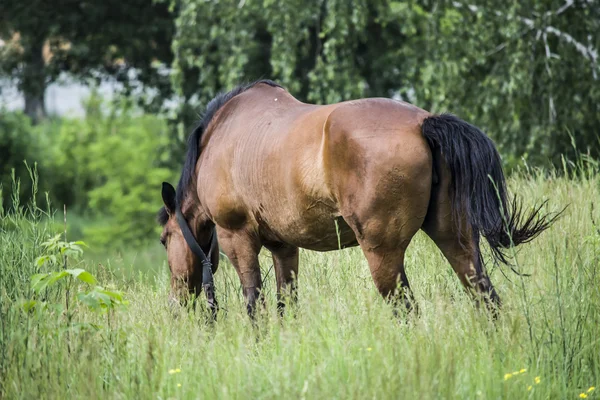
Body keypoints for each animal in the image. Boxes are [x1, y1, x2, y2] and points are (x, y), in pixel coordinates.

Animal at [157, 79, 556, 318]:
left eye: (164, 240)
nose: (175, 304)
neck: (221, 135)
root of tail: (424, 123)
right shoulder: (284, 247)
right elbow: (287, 304)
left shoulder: (237, 238)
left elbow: (254, 302)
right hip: (455, 239)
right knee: (484, 297)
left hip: (382, 252)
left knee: (406, 308)